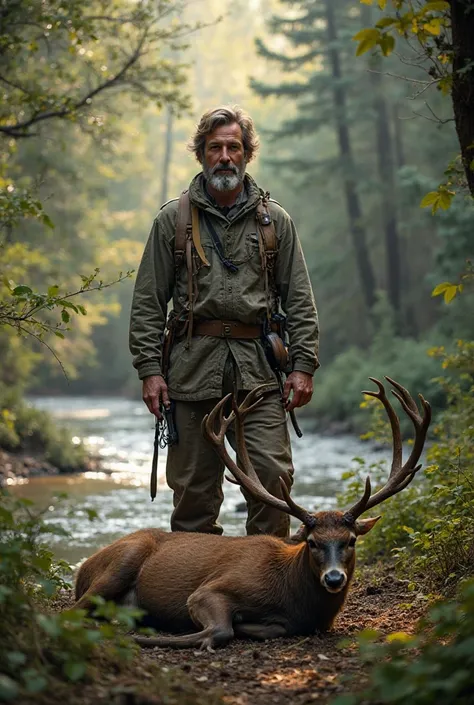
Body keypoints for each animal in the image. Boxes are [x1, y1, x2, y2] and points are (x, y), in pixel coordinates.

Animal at [73, 374, 430, 648]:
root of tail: (82, 568)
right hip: (124, 558)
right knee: (76, 607)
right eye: (312, 542)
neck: (292, 595)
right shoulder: (211, 589)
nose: (333, 578)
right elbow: (221, 629)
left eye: (351, 540)